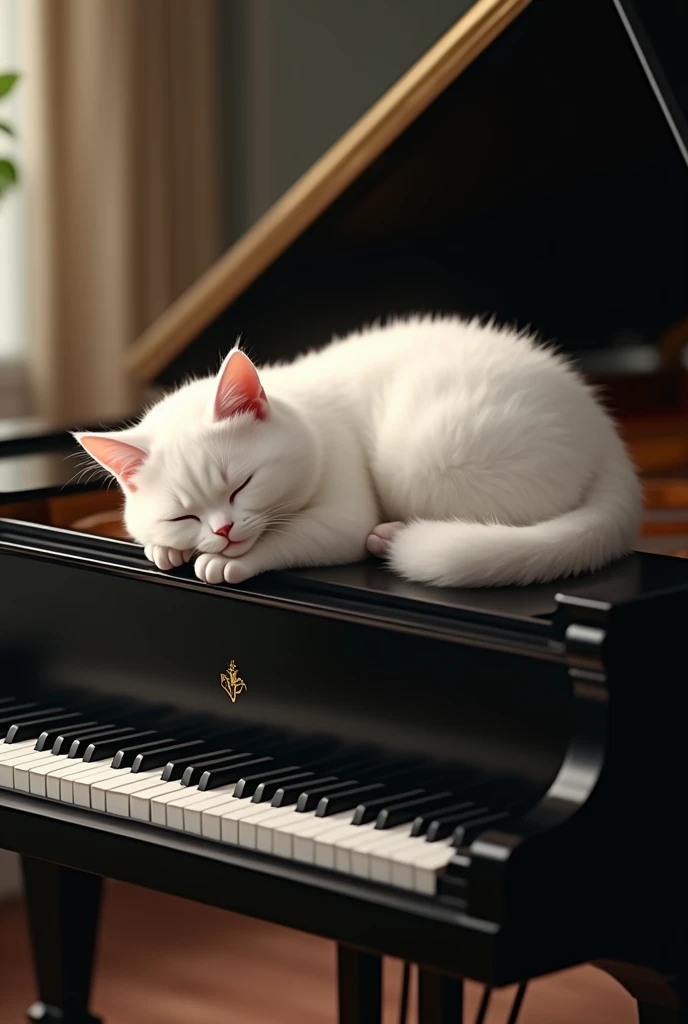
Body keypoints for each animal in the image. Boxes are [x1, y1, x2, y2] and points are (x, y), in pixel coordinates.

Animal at [72, 319, 642, 593]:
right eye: (183, 516)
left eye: (242, 485)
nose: (223, 530)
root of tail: (603, 428)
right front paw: (165, 551)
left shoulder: (341, 517)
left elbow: (294, 538)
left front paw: (231, 560)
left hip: (423, 455)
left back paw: (390, 536)